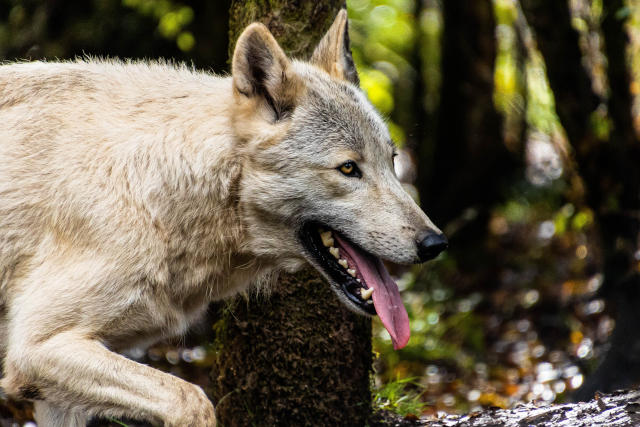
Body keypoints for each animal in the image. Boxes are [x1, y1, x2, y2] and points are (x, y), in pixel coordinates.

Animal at [0, 10, 444, 427]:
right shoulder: (37, 347)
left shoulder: (53, 388)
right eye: (349, 168)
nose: (435, 244)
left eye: (392, 161)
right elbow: (192, 400)